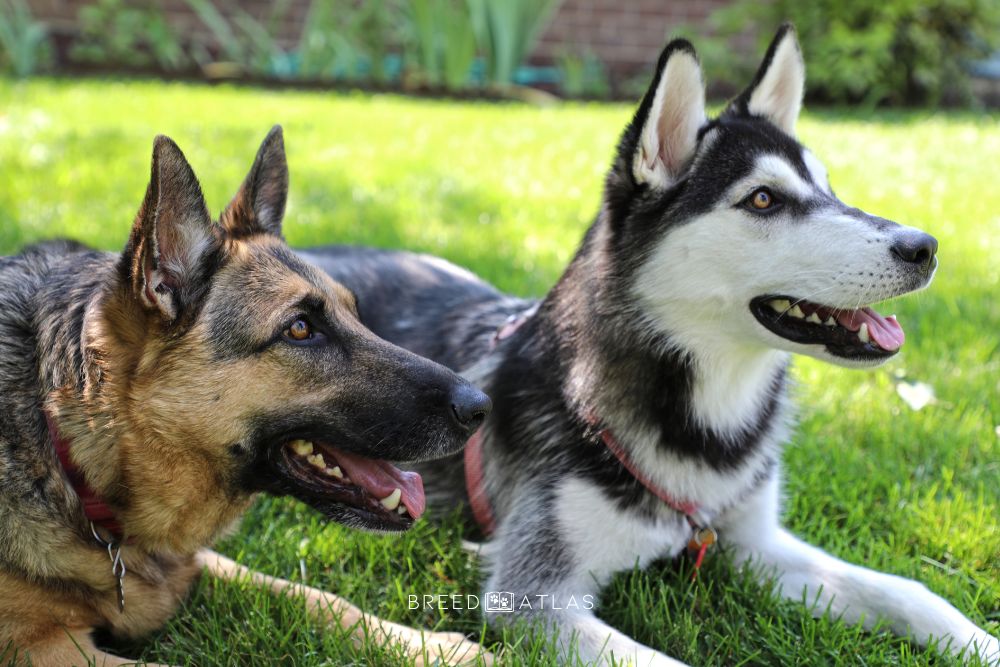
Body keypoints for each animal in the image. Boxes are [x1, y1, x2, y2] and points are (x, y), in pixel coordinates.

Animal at [304, 26, 1000, 667]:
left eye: (831, 191)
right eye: (764, 199)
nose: (924, 247)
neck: (704, 423)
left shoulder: (757, 544)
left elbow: (909, 591)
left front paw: (981, 643)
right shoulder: (534, 599)